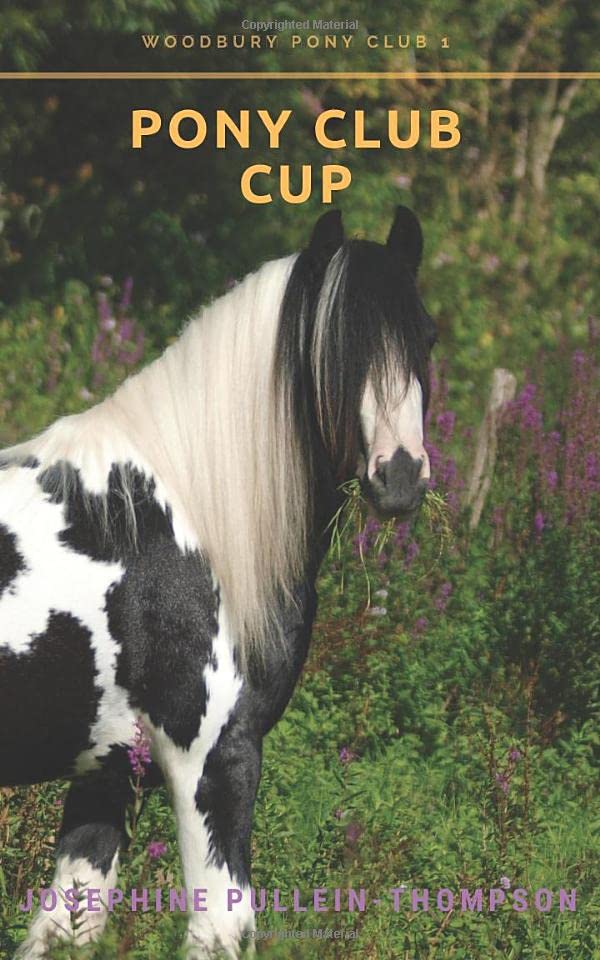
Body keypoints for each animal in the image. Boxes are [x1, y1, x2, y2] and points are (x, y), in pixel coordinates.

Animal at [0, 206, 436, 958]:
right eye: (335, 348)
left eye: (425, 340)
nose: (400, 476)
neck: (182, 519)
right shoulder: (213, 757)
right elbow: (223, 927)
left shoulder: (106, 774)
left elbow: (66, 925)